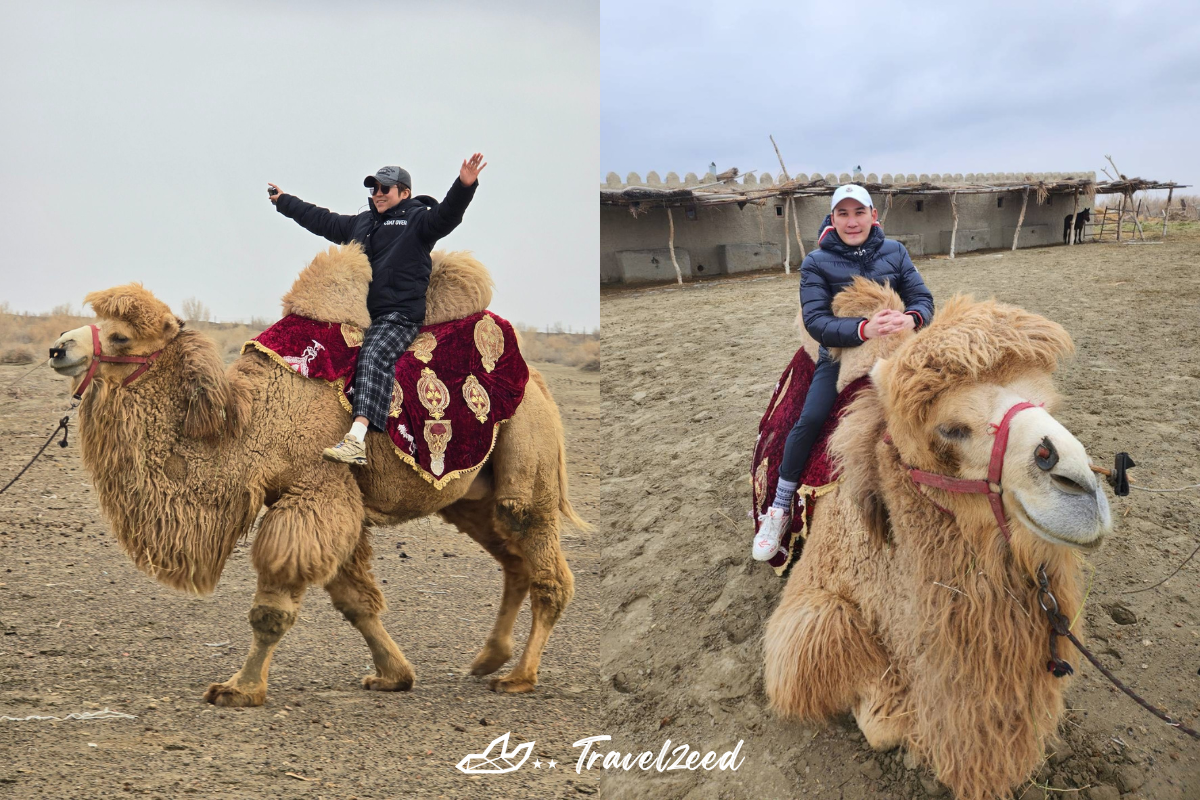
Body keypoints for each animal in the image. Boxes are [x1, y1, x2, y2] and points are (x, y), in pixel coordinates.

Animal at [49, 245, 583, 705]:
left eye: (121, 336)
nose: (58, 348)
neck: (252, 420)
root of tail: (538, 381)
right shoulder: (323, 499)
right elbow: (355, 600)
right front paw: (393, 675)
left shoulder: (316, 492)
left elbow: (273, 604)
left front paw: (240, 688)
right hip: (470, 497)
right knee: (514, 562)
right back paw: (489, 658)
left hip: (527, 461)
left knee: (545, 567)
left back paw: (519, 677)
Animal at [763, 280, 1108, 800]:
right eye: (950, 428)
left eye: (1048, 403)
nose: (1081, 488)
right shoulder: (809, 606)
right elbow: (877, 720)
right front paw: (894, 712)